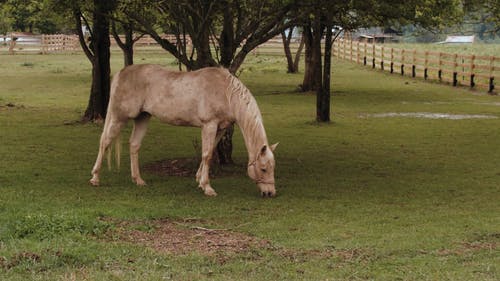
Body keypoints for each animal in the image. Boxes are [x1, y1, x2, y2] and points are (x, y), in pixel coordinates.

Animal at [90, 65, 278, 197]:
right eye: (263, 169)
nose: (270, 193)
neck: (225, 92)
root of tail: (122, 73)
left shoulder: (219, 129)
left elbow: (209, 152)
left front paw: (199, 180)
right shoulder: (209, 125)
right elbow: (207, 154)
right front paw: (207, 187)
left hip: (142, 118)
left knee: (134, 145)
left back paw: (138, 180)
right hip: (119, 117)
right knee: (105, 142)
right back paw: (95, 178)